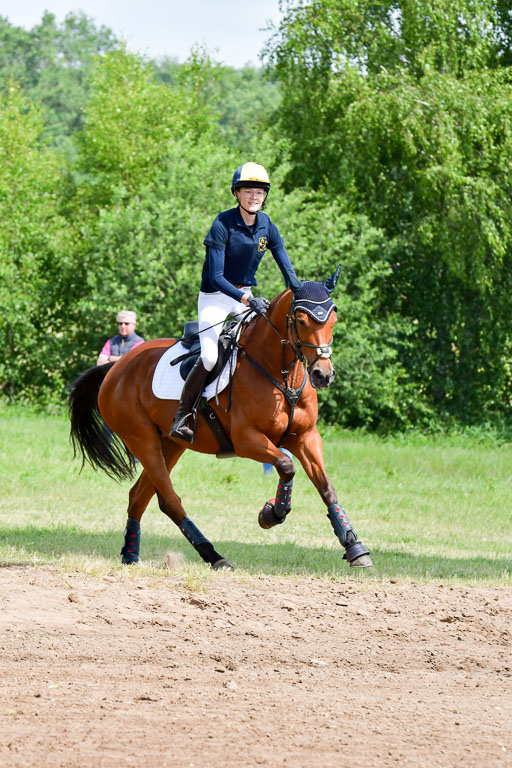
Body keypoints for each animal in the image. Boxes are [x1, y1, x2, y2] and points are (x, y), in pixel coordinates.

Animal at [68, 267, 373, 571]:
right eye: (300, 320)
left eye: (333, 319)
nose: (323, 374)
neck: (281, 375)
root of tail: (116, 368)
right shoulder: (246, 440)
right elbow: (287, 466)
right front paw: (272, 514)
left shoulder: (306, 437)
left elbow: (326, 487)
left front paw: (354, 546)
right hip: (141, 439)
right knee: (169, 500)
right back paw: (214, 556)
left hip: (170, 444)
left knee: (140, 496)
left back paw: (131, 555)